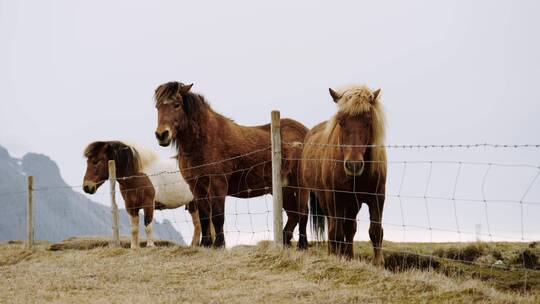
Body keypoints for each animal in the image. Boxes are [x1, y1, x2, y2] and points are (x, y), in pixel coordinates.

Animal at [154, 81, 310, 249]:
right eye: (157, 107)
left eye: (177, 105)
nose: (162, 135)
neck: (205, 141)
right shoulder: (196, 188)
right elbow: (204, 217)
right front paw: (205, 244)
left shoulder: (217, 185)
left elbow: (217, 217)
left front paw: (219, 245)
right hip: (284, 189)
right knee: (293, 215)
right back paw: (285, 242)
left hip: (300, 186)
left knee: (302, 213)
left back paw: (302, 245)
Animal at [302, 84, 386, 264]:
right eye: (341, 122)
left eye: (368, 121)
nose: (353, 165)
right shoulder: (335, 199)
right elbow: (336, 232)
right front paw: (336, 257)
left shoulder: (377, 197)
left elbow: (375, 231)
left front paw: (378, 264)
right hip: (327, 200)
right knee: (335, 227)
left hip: (353, 203)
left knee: (350, 228)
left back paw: (349, 255)